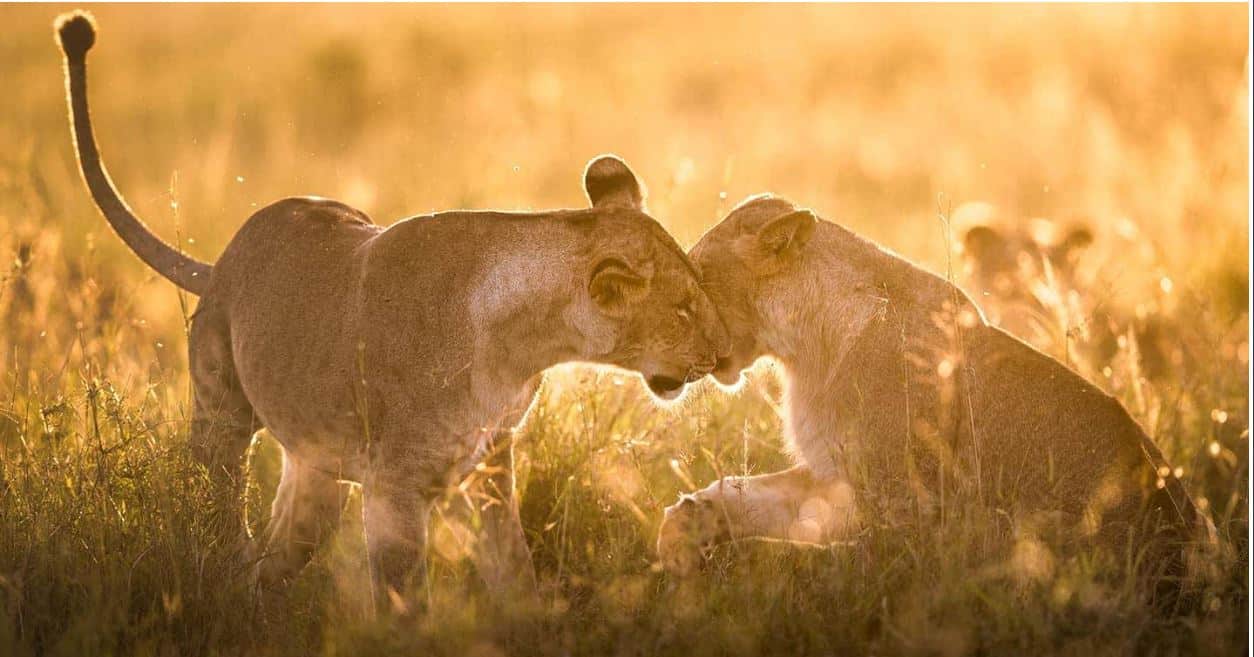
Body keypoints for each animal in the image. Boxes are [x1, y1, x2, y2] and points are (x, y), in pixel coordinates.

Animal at [55, 12, 730, 610]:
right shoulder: (394, 488)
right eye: (683, 309)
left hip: (317, 471)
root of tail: (221, 261)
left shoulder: (489, 466)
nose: (724, 356)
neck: (523, 347)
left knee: (275, 555)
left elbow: (513, 569)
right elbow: (407, 599)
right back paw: (214, 577)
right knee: (214, 501)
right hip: (221, 412)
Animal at [658, 194, 1212, 602]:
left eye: (697, 275)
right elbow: (747, 495)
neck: (805, 347)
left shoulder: (910, 504)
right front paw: (682, 532)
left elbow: (855, 569)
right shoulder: (837, 476)